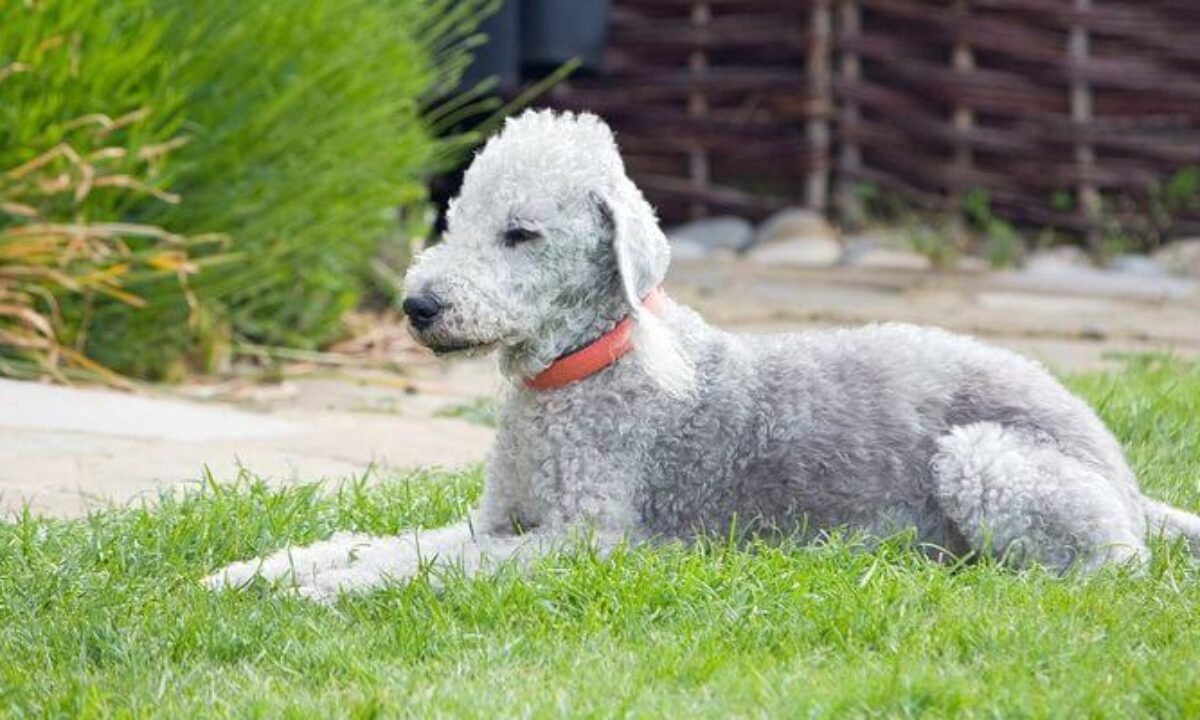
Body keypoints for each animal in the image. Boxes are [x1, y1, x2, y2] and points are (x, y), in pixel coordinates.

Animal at [208, 108, 1200, 602]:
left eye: (521, 233)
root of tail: (1120, 469)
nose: (418, 307)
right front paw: (253, 572)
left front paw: (324, 591)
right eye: (452, 219)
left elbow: (421, 564)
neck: (579, 371)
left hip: (987, 460)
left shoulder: (581, 543)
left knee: (1111, 568)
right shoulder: (500, 523)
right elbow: (386, 541)